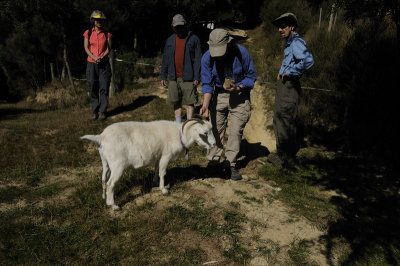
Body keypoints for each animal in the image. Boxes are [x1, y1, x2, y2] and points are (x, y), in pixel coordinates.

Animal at [79, 116, 214, 210]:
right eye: (205, 133)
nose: (213, 144)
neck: (179, 134)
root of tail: (100, 137)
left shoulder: (158, 157)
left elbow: (156, 170)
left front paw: (154, 183)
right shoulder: (166, 156)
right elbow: (163, 172)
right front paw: (164, 190)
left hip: (106, 162)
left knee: (103, 179)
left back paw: (104, 198)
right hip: (118, 165)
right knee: (110, 184)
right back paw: (113, 206)